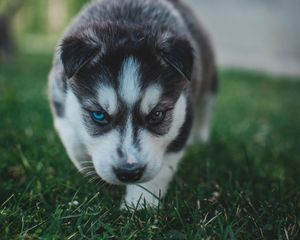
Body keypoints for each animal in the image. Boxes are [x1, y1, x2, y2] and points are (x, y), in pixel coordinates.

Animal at [49, 0, 218, 208]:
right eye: (99, 115)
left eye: (156, 115)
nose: (128, 172)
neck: (129, 18)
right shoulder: (59, 97)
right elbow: (74, 141)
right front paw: (89, 167)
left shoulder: (184, 115)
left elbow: (159, 171)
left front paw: (139, 204)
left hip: (210, 84)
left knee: (206, 110)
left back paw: (201, 139)